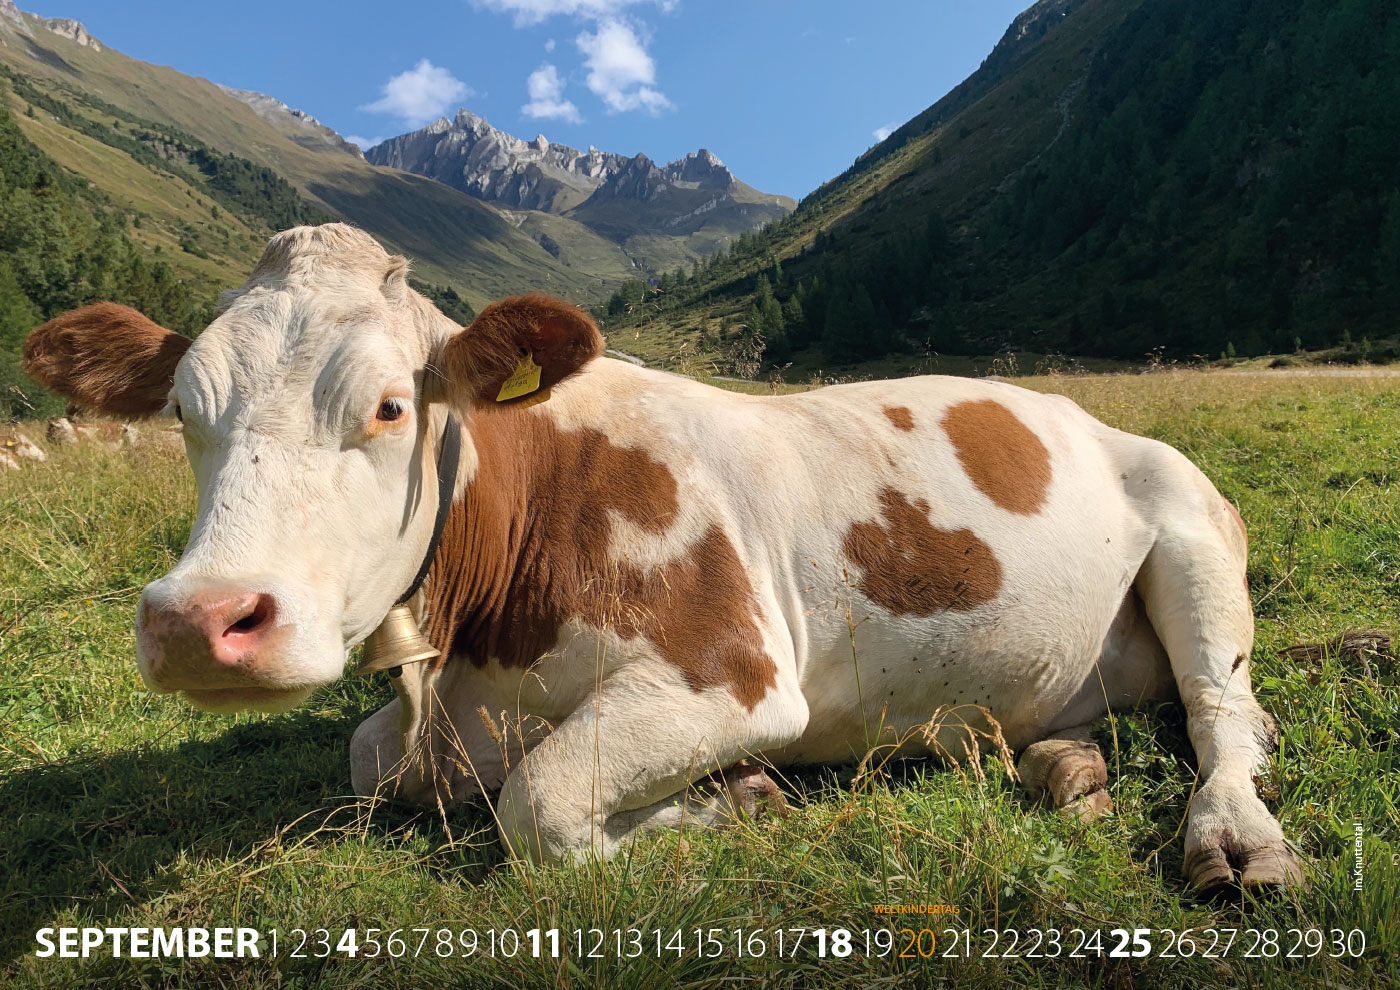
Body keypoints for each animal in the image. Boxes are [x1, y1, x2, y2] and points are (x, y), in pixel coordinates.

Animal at [23, 223, 1301, 894]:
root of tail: (1078, 414)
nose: (200, 621)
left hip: (1192, 541)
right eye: (184, 409)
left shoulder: (729, 671)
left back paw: (1233, 839)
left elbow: (538, 807)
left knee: (1224, 719)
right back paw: (1064, 764)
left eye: (388, 406)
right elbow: (366, 756)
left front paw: (729, 805)